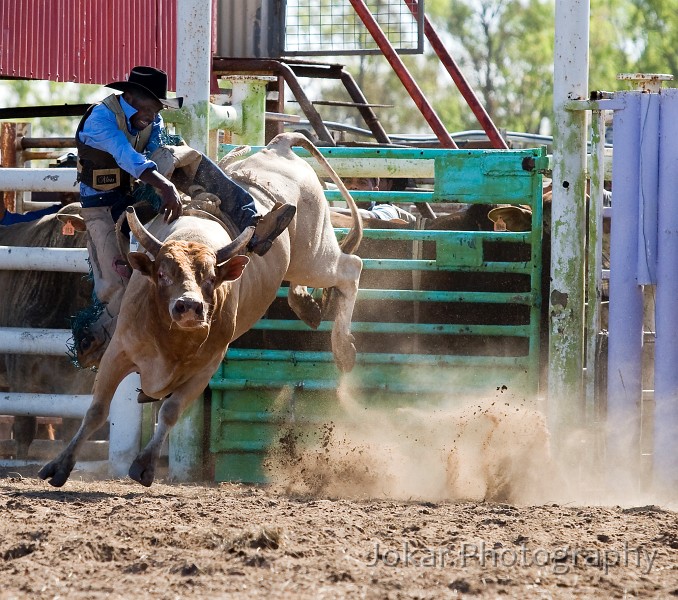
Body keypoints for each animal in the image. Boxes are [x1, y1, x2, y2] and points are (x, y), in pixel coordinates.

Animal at [39, 132, 364, 488]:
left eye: (211, 278)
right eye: (162, 274)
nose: (189, 307)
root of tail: (279, 145)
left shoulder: (205, 368)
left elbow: (170, 411)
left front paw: (145, 466)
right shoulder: (118, 352)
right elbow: (97, 410)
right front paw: (59, 465)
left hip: (314, 253)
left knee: (350, 268)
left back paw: (343, 347)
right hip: (308, 258)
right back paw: (306, 304)